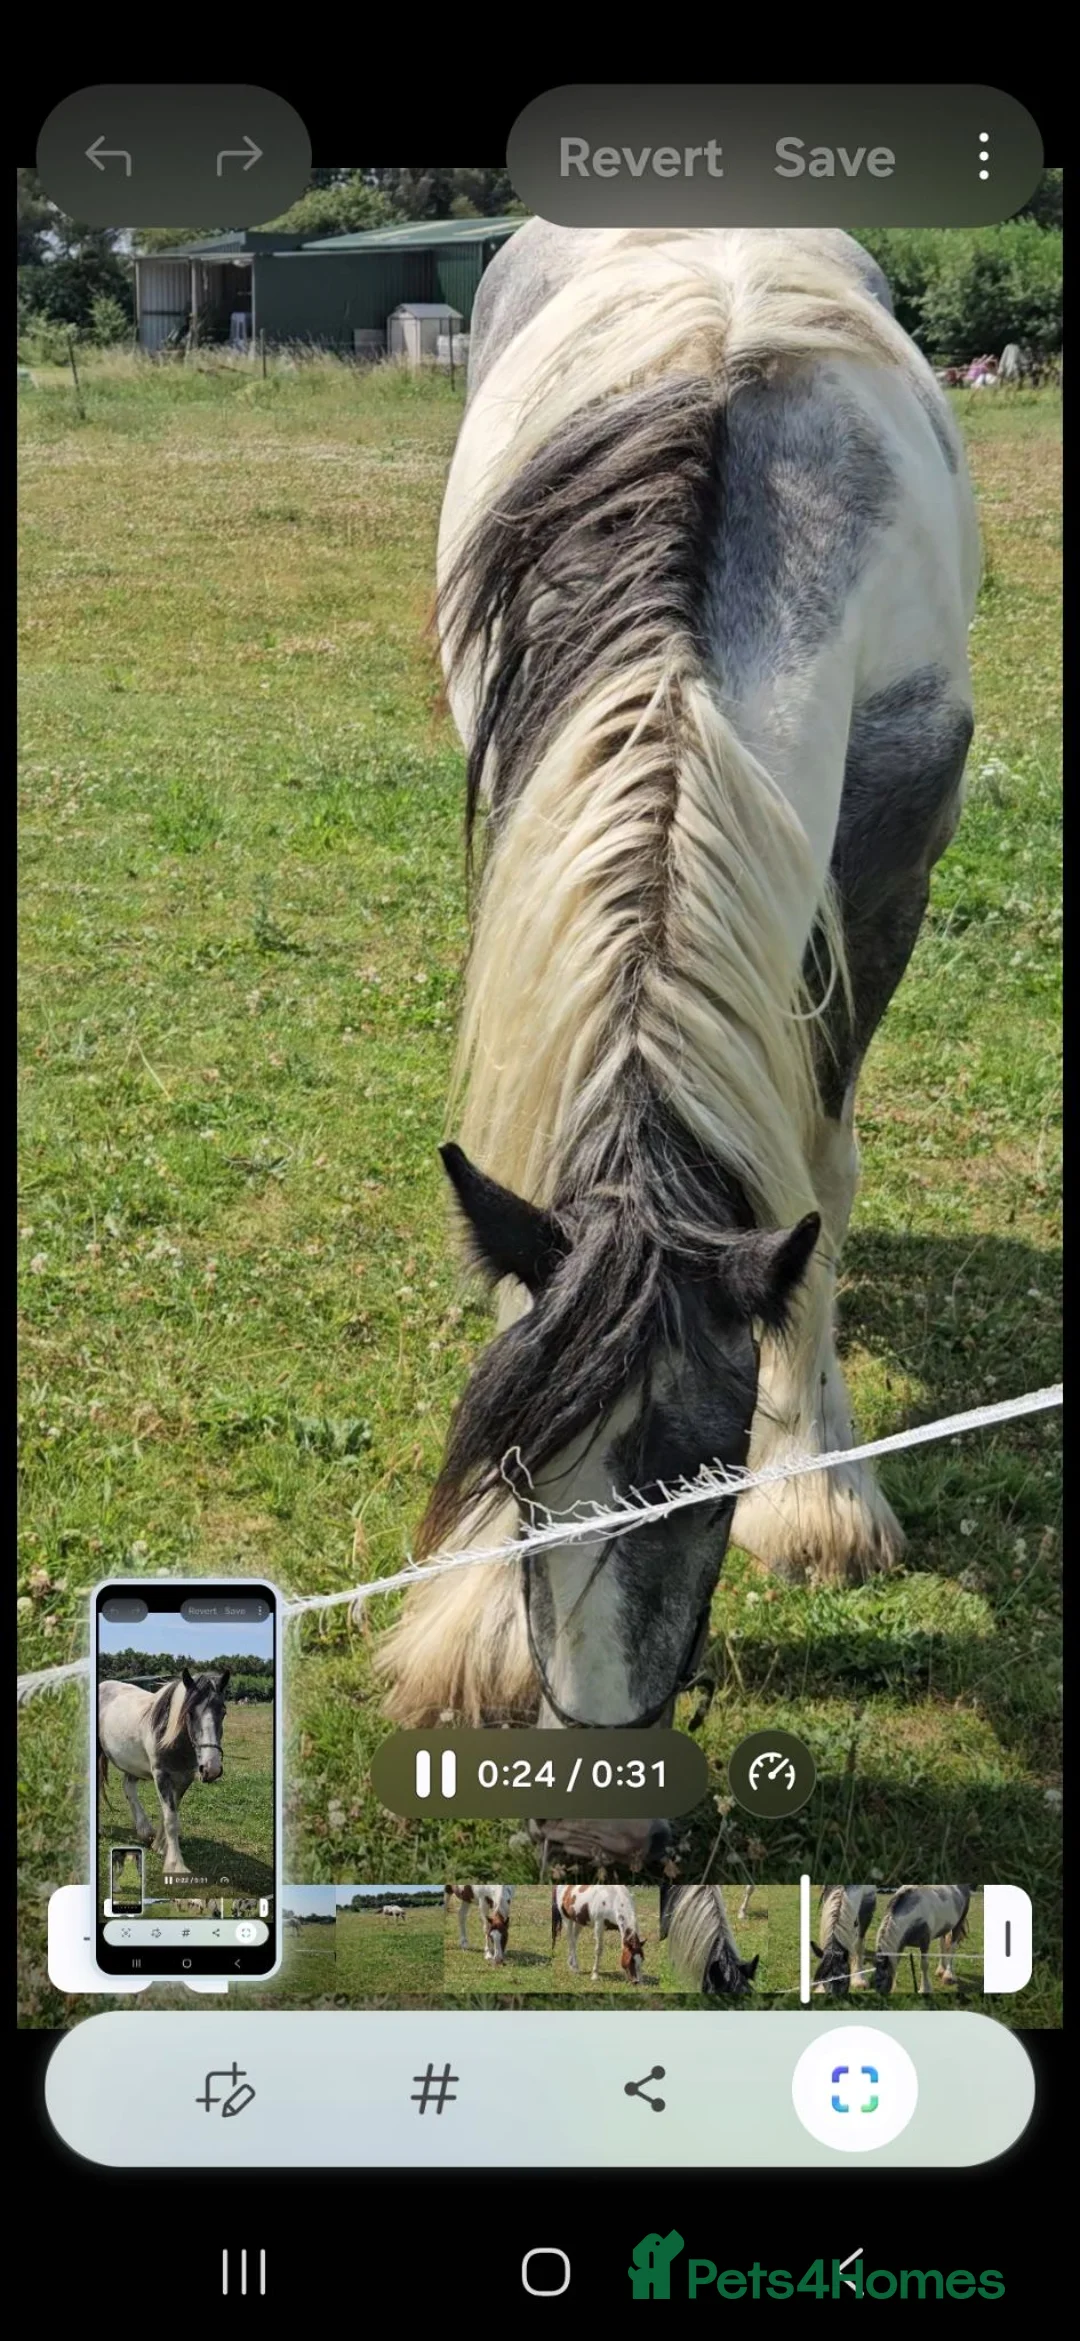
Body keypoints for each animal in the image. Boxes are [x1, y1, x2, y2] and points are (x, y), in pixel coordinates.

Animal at [97, 1668, 230, 1877]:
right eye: (189, 1712)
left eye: (223, 1712)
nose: (212, 1768)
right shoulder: (161, 1775)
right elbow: (171, 1819)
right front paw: (176, 1865)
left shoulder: (183, 1778)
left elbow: (167, 1813)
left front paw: (160, 1846)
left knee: (128, 1787)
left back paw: (144, 1830)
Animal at [376, 226, 980, 1865]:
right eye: (521, 1473)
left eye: (704, 1491)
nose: (597, 1842)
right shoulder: (534, 781)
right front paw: (473, 1626)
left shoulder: (886, 870)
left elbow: (820, 1176)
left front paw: (817, 1494)